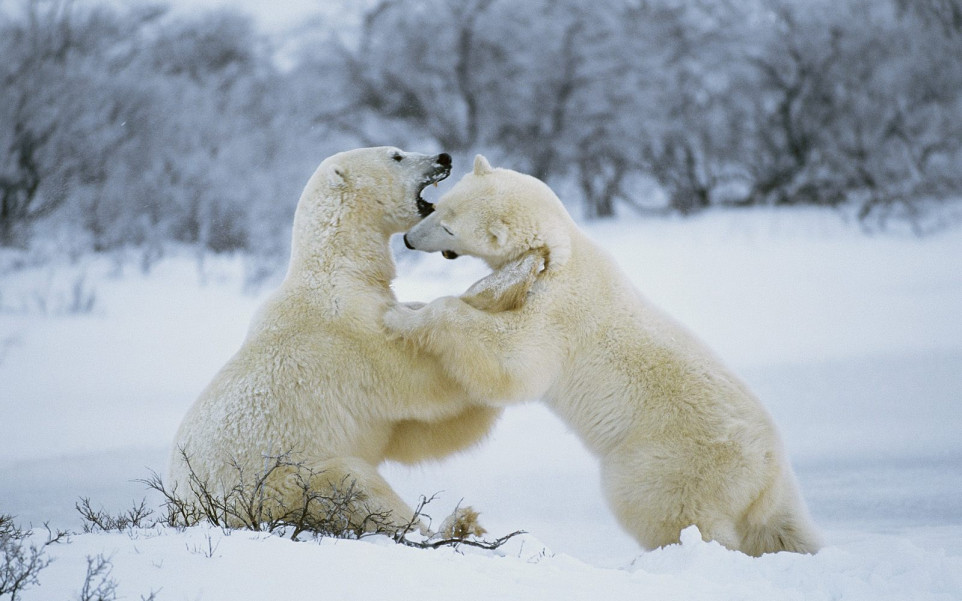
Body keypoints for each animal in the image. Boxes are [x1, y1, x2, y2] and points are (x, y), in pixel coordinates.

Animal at [169, 146, 496, 536]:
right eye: (397, 155)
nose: (444, 157)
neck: (338, 270)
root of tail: (187, 510)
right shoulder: (350, 334)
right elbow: (419, 381)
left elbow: (413, 433)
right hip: (281, 483)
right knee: (354, 485)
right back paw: (452, 524)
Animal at [386, 154, 820, 552]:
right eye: (439, 206)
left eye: (448, 227)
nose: (409, 240)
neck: (562, 251)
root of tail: (768, 470)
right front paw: (408, 305)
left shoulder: (558, 313)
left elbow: (513, 360)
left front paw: (402, 317)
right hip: (764, 493)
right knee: (782, 529)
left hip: (672, 462)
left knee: (667, 510)